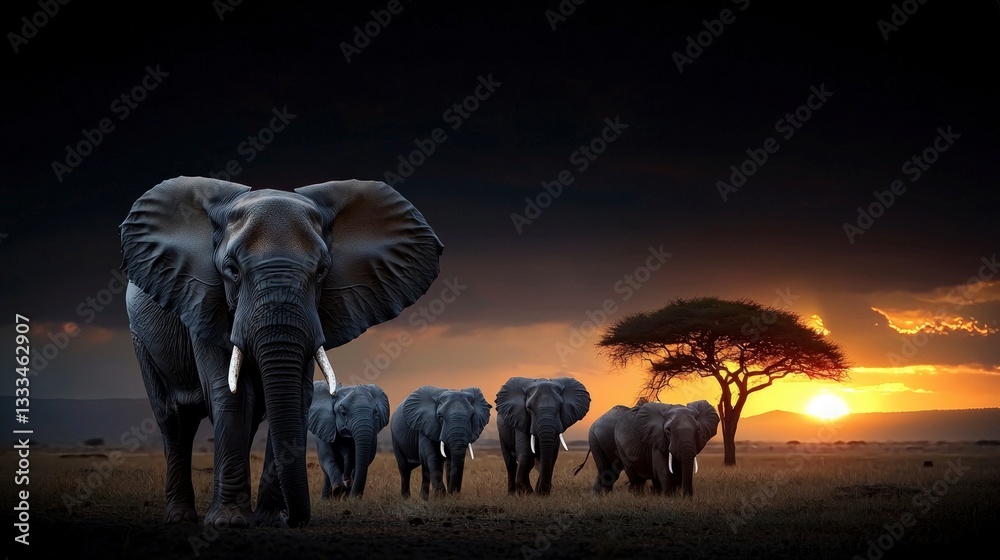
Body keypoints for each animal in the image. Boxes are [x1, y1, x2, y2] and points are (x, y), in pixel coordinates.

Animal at [120, 176, 442, 527]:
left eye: (322, 270)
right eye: (232, 270)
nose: (292, 518)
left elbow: (297, 395)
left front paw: (269, 519)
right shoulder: (201, 297)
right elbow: (230, 394)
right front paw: (229, 523)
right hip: (141, 338)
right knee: (175, 421)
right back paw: (180, 517)